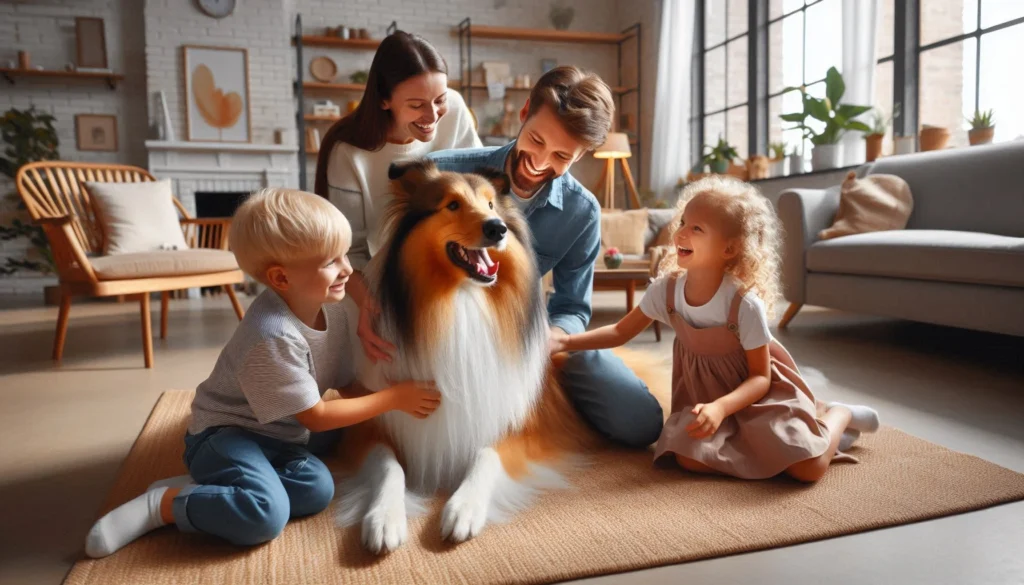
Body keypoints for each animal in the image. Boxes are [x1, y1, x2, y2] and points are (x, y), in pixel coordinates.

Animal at [335, 158, 655, 553]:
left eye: (491, 205)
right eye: (452, 204)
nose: (497, 228)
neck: (460, 301)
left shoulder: (519, 424)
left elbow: (487, 455)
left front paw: (463, 508)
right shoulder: (371, 423)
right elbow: (387, 464)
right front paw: (384, 516)